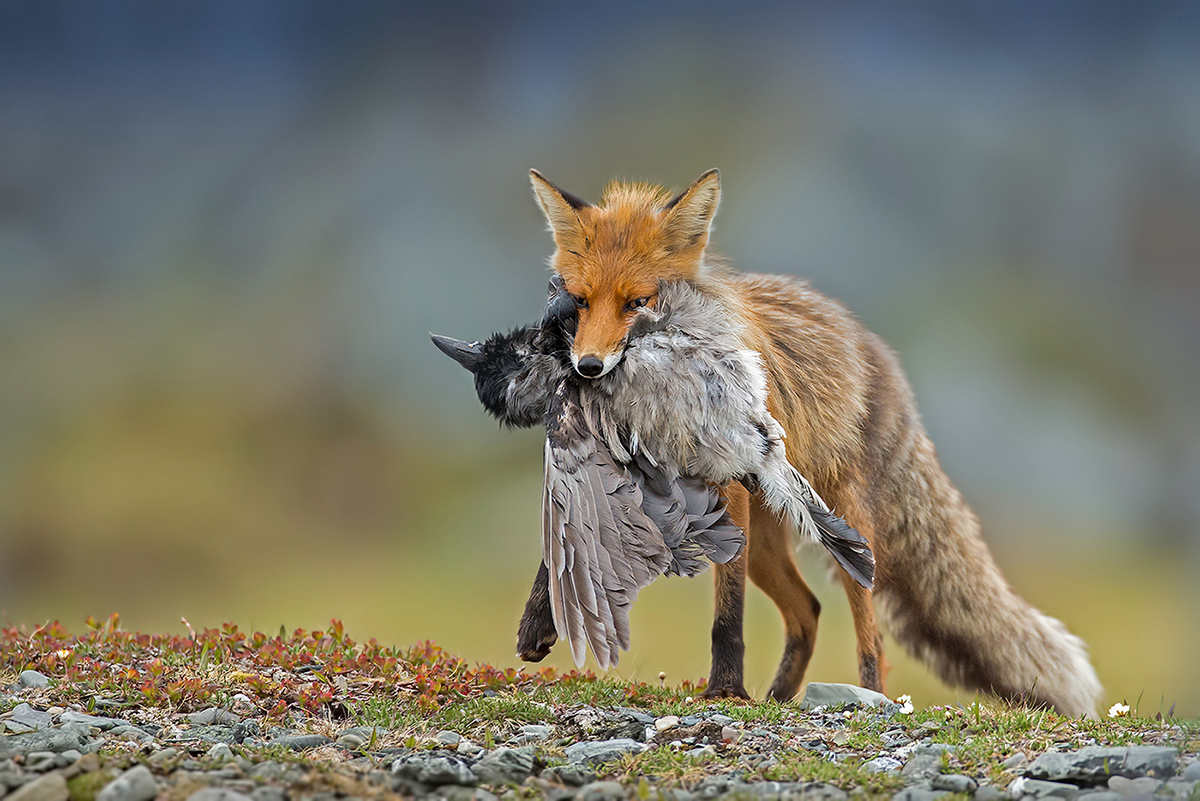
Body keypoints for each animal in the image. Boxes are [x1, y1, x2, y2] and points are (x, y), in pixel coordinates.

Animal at [520, 169, 1099, 719]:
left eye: (637, 303)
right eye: (579, 302)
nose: (588, 367)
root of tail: (872, 346)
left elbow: (727, 614)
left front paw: (724, 691)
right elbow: (560, 539)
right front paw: (538, 624)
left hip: (843, 528)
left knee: (870, 634)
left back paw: (865, 697)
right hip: (761, 540)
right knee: (808, 613)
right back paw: (779, 697)